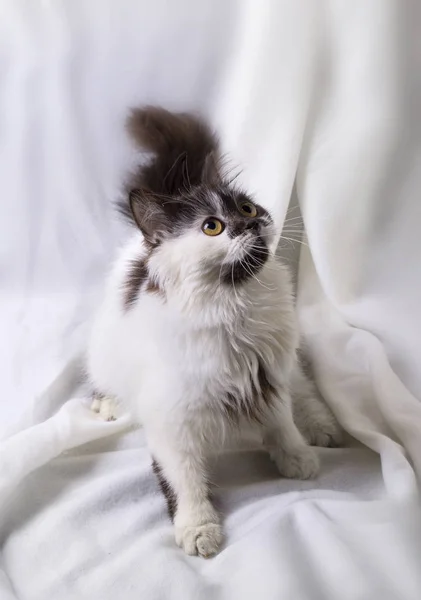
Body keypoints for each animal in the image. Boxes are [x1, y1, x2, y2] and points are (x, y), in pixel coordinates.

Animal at [86, 106, 342, 556]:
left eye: (248, 209)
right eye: (212, 227)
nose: (250, 226)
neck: (236, 311)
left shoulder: (268, 377)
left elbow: (282, 424)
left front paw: (296, 458)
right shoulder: (172, 423)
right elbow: (185, 480)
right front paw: (198, 528)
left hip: (288, 362)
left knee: (302, 385)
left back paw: (321, 426)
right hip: (106, 353)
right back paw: (107, 404)